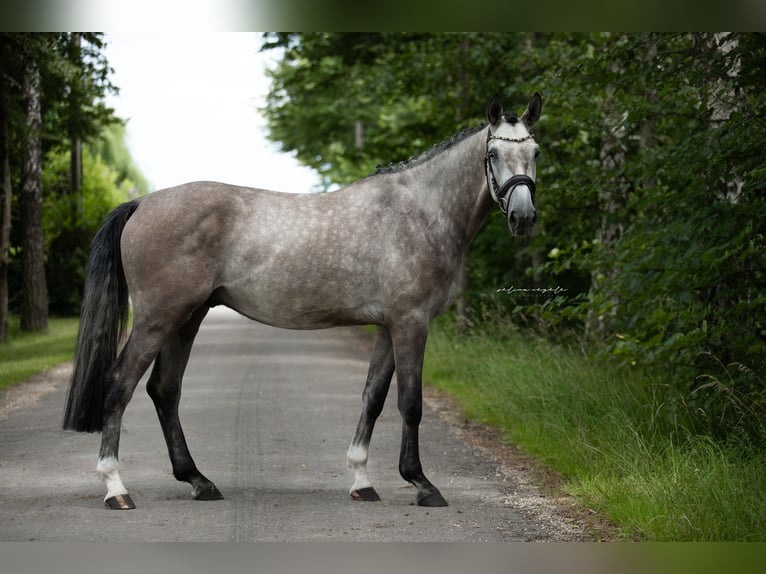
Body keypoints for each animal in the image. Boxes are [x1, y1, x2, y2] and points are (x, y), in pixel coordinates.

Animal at [63, 93, 542, 510]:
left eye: (535, 152)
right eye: (494, 154)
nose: (523, 217)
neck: (419, 211)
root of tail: (143, 202)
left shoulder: (387, 326)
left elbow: (373, 396)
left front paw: (362, 481)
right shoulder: (411, 322)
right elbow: (410, 402)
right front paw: (422, 484)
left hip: (187, 316)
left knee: (165, 390)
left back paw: (198, 481)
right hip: (157, 318)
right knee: (119, 384)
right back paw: (116, 488)